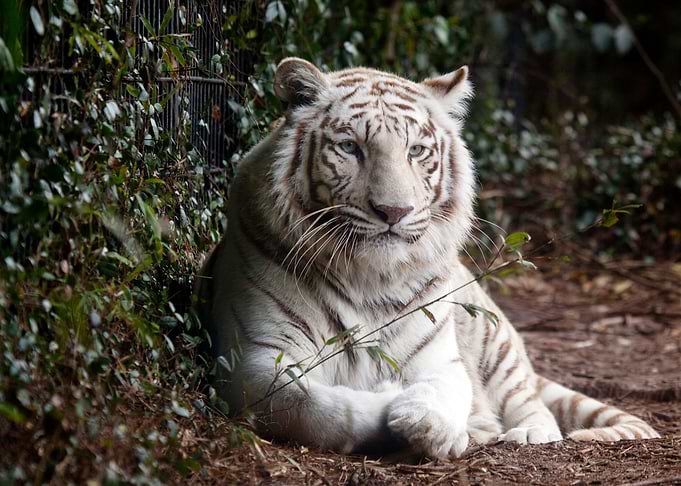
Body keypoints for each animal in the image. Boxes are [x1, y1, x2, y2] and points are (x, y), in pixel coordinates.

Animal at [195, 57, 659, 458]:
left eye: (416, 151)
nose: (394, 211)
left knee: (531, 401)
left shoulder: (441, 359)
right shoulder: (255, 361)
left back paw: (525, 432)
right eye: (350, 147)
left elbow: (443, 391)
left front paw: (431, 425)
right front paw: (389, 399)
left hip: (495, 342)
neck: (365, 277)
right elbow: (315, 407)